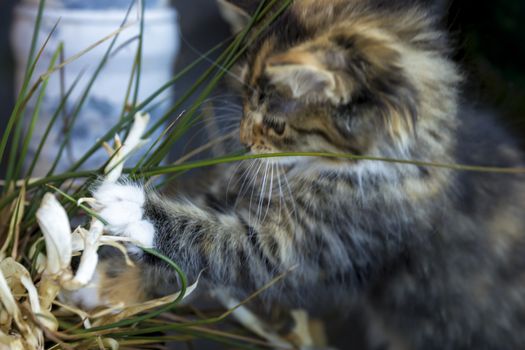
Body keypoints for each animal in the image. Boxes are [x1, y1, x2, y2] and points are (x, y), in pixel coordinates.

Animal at [73, 1, 524, 348]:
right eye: (244, 100)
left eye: (275, 124)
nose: (243, 139)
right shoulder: (241, 189)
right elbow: (183, 244)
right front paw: (98, 282)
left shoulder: (304, 249)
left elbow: (213, 243)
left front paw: (132, 209)